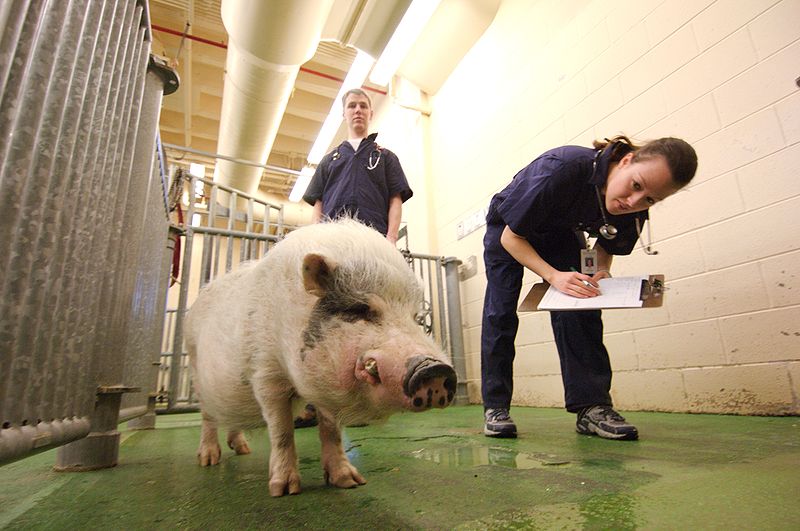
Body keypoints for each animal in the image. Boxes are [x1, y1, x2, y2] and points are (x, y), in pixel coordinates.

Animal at [183, 218, 456, 496]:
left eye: (415, 317)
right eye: (360, 309)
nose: (434, 369)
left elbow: (331, 431)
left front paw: (351, 482)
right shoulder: (266, 372)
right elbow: (281, 430)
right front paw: (283, 490)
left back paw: (243, 450)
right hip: (195, 369)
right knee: (208, 417)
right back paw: (208, 460)